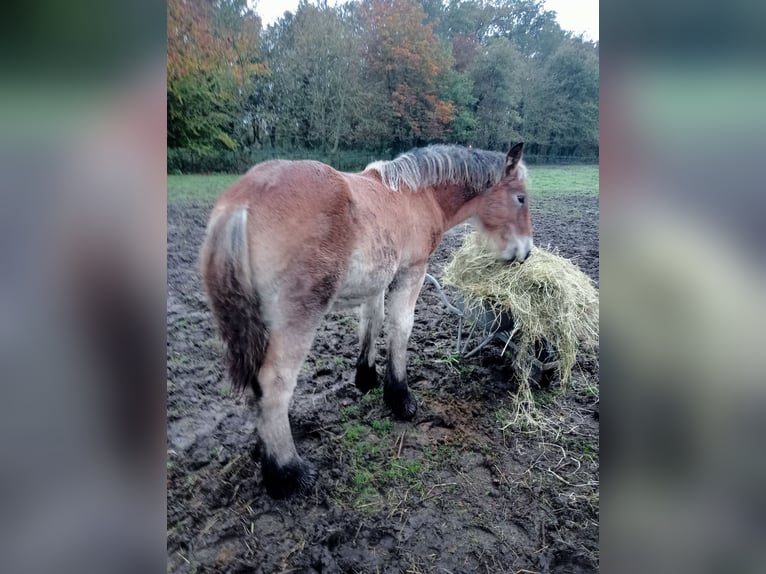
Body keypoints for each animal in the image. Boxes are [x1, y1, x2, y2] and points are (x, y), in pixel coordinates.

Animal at [201, 144, 532, 500]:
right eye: (521, 198)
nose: (526, 252)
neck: (416, 194)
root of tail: (243, 201)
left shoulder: (377, 282)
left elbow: (372, 322)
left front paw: (367, 377)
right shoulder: (411, 272)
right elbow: (401, 327)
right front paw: (400, 398)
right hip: (297, 319)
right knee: (274, 384)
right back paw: (288, 473)